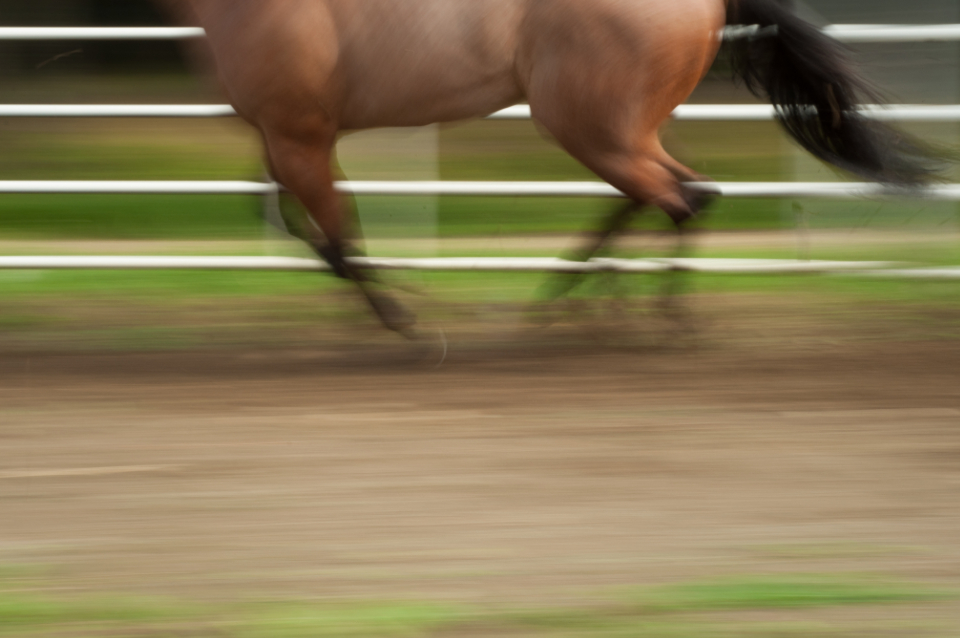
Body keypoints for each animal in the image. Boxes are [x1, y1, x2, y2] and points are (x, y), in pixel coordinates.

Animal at [160, 0, 933, 335]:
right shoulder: (286, 138)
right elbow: (298, 224)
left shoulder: (299, 136)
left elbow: (333, 231)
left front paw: (403, 320)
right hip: (615, 128)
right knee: (675, 191)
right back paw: (580, 295)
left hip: (588, 126)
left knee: (682, 196)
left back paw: (646, 309)